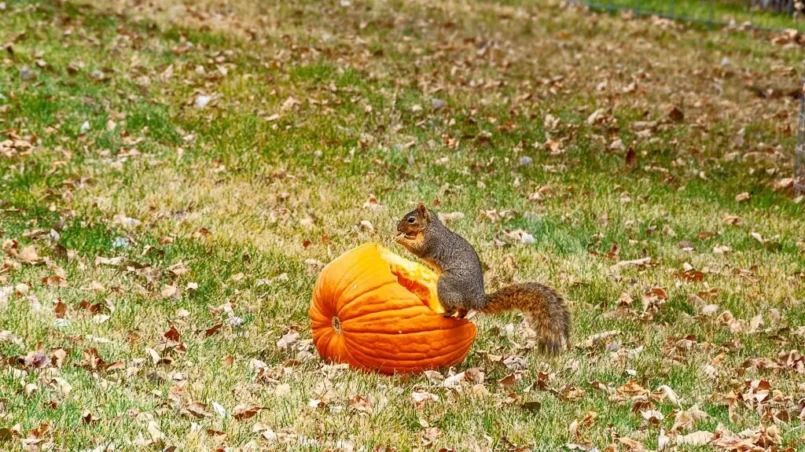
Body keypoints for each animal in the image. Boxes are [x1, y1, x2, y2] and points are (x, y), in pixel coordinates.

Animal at [392, 202, 568, 354]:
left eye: (411, 219)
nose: (398, 227)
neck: (430, 227)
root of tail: (476, 299)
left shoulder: (432, 242)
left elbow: (420, 250)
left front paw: (400, 238)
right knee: (463, 311)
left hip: (447, 284)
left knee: (455, 307)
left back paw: (446, 313)